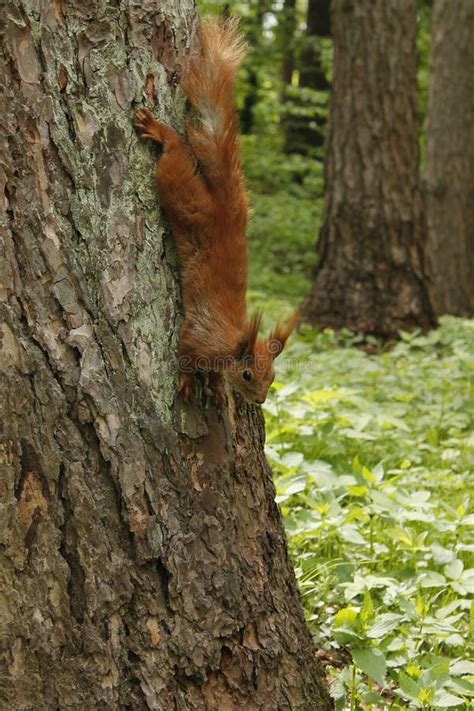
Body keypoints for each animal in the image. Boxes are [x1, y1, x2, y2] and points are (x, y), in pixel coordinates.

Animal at [134, 18, 296, 406]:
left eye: (273, 377)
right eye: (249, 374)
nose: (260, 401)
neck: (232, 338)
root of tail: (225, 211)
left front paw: (212, 386)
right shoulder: (198, 334)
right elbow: (182, 352)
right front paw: (187, 381)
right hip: (179, 189)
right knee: (175, 153)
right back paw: (161, 132)